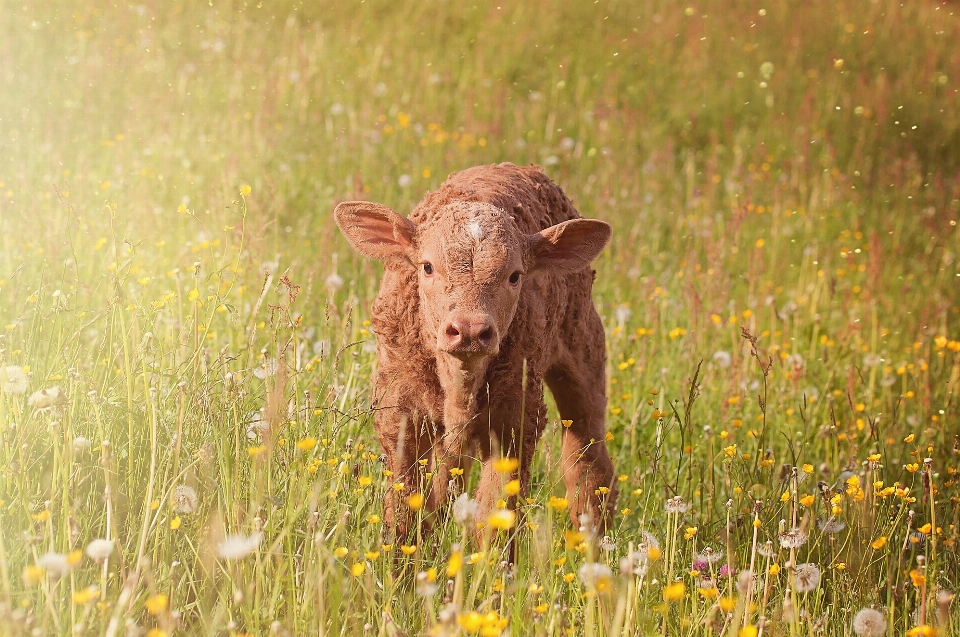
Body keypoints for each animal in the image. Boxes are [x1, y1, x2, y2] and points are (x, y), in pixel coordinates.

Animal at [334, 163, 620, 536]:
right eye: (427, 266)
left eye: (515, 276)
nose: (469, 329)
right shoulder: (399, 413)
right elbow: (406, 506)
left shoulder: (515, 421)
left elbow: (496, 515)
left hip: (585, 351)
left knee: (588, 460)